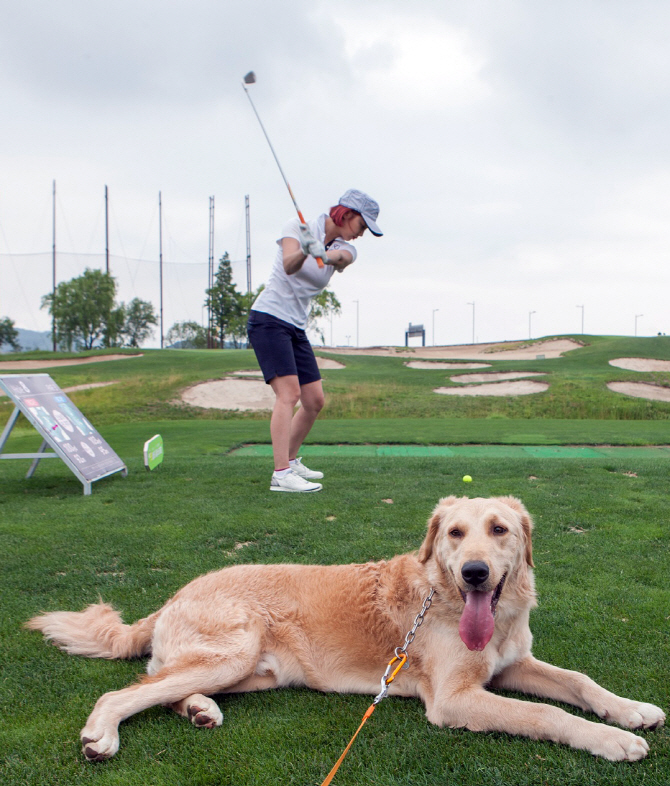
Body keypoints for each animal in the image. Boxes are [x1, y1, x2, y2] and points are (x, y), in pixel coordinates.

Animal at [27, 496, 668, 760]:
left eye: (499, 530)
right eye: (455, 534)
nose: (475, 572)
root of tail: (173, 595)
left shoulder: (514, 665)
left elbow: (580, 682)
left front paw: (630, 710)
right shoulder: (457, 699)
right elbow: (546, 715)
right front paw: (612, 741)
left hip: (253, 672)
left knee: (160, 687)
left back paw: (199, 710)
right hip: (233, 653)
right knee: (122, 692)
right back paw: (102, 736)